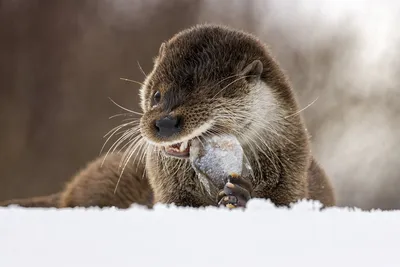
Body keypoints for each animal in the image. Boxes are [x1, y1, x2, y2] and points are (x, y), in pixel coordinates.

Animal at [0, 24, 336, 209]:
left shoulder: (293, 177)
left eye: (204, 97)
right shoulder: (168, 192)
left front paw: (243, 196)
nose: (163, 122)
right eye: (158, 95)